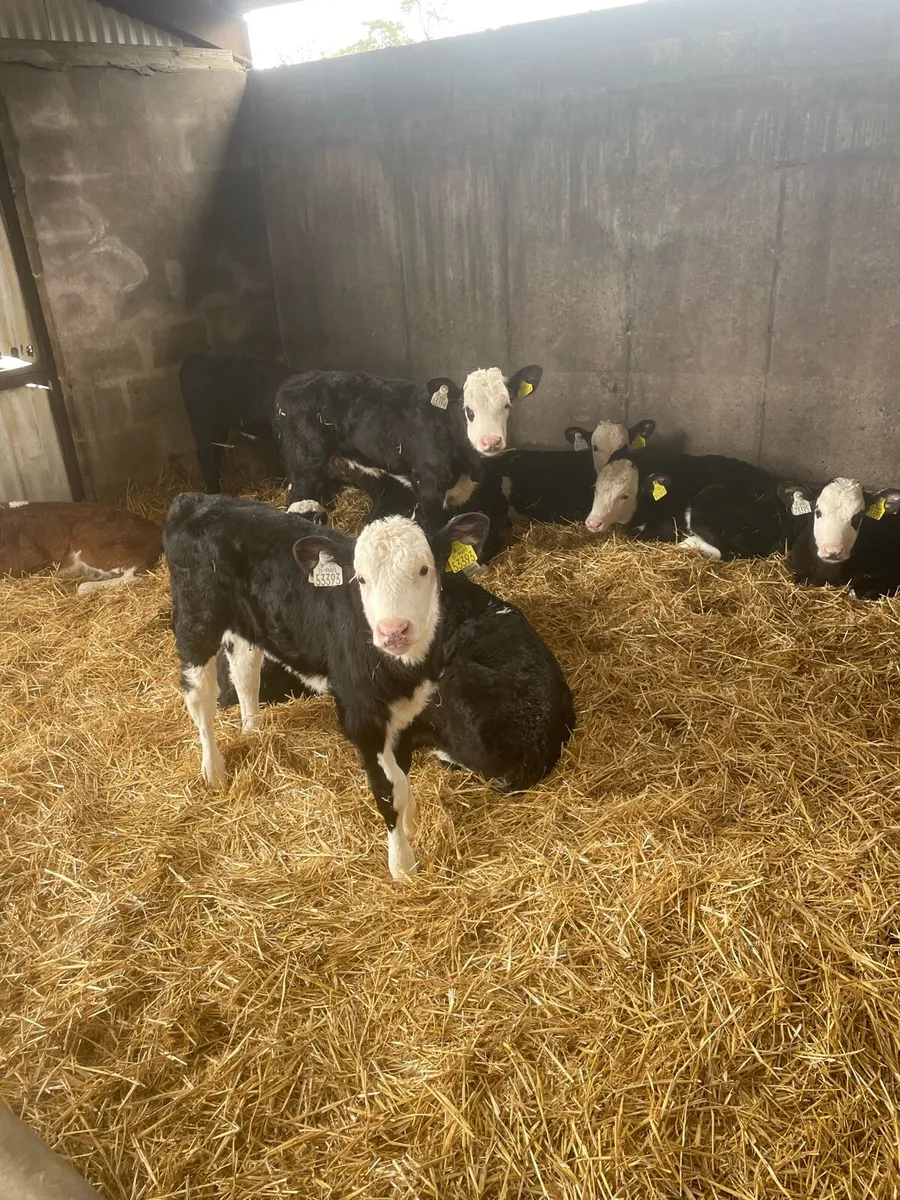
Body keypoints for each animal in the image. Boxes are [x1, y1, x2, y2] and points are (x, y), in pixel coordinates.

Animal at [163, 493, 489, 879]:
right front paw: (402, 866)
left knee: (245, 671)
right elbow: (388, 788)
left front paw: (410, 822)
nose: (393, 630)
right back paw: (213, 770)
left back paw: (253, 732)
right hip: (197, 619)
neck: (404, 669)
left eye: (424, 570)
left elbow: (402, 776)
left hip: (247, 623)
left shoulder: (408, 708)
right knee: (200, 696)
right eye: (360, 579)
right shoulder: (361, 714)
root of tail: (195, 500)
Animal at [179, 353, 294, 493]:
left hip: (219, 426)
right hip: (202, 421)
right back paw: (214, 491)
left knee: (216, 450)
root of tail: (193, 359)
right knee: (205, 454)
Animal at [274, 366, 543, 532]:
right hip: (304, 463)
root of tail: (293, 381)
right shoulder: (429, 489)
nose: (491, 441)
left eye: (507, 405)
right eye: (468, 409)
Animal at [583, 448, 789, 560]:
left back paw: (687, 543)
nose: (593, 522)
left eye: (625, 496)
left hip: (708, 498)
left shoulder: (669, 525)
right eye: (596, 488)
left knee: (727, 551)